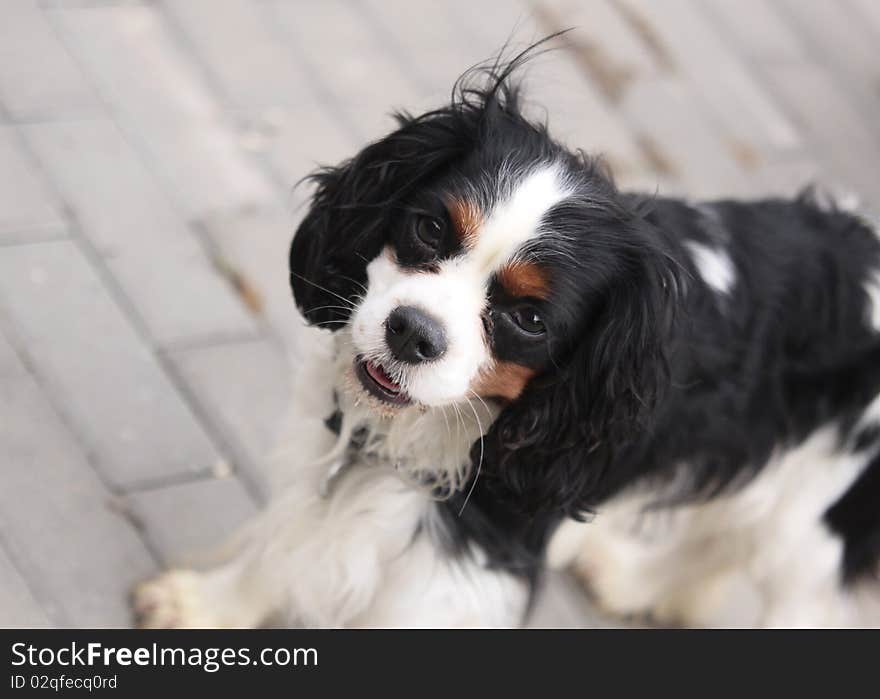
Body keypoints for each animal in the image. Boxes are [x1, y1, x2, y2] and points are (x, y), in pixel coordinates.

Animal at [131, 57, 880, 628]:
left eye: (529, 319)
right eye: (430, 229)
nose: (413, 331)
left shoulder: (469, 562)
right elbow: (287, 536)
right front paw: (209, 606)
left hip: (820, 536)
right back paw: (629, 577)